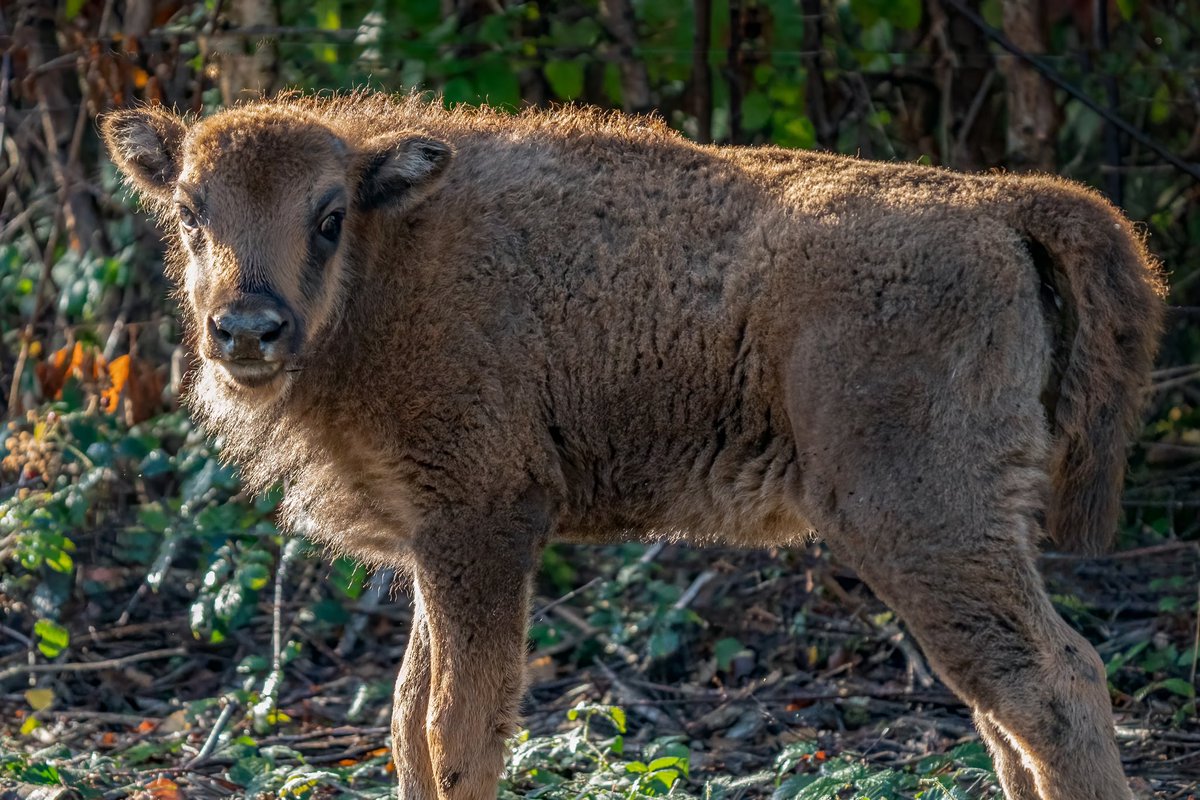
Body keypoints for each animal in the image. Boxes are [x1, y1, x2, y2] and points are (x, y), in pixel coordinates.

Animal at [103, 92, 1161, 800]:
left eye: (327, 218)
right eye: (191, 213)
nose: (246, 330)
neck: (391, 251)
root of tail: (996, 204)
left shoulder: (484, 528)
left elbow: (458, 726)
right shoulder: (432, 549)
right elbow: (407, 720)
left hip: (921, 521)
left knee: (1051, 683)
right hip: (963, 535)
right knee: (1002, 702)